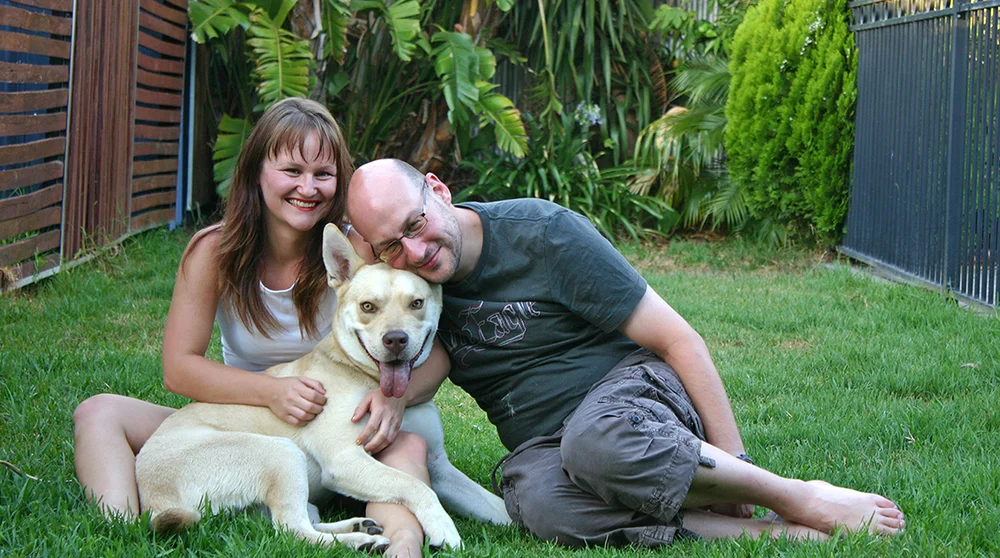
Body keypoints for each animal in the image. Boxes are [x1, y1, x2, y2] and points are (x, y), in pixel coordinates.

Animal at [135, 223, 510, 551]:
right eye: (368, 306)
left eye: (416, 303)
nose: (395, 340)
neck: (362, 375)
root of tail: (153, 496)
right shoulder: (344, 459)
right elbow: (416, 486)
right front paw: (444, 529)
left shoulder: (439, 467)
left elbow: (497, 506)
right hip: (281, 453)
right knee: (292, 530)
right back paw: (359, 541)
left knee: (303, 521)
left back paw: (360, 527)